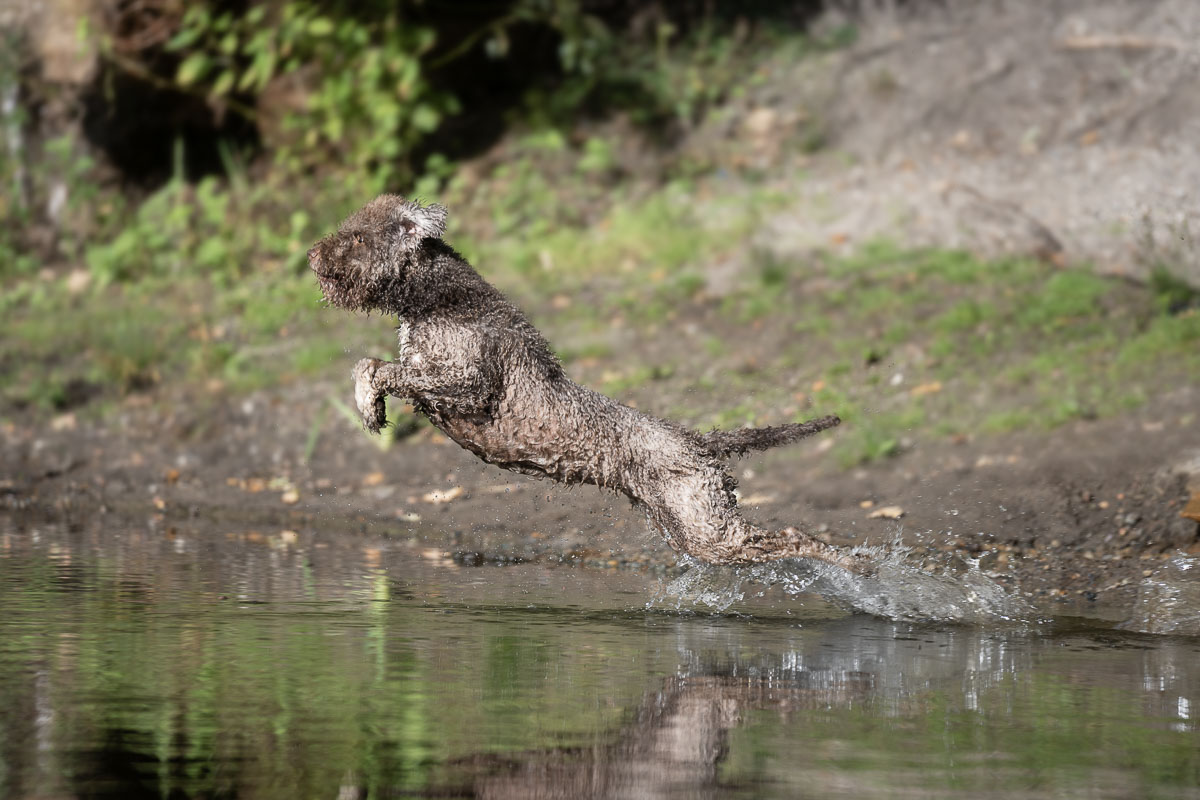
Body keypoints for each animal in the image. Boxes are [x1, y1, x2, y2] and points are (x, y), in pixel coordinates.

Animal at [314, 194, 868, 568]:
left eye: (359, 237)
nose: (313, 255)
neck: (433, 300)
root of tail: (697, 442)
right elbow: (370, 365)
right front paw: (370, 407)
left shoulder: (469, 384)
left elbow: (379, 366)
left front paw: (370, 404)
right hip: (686, 527)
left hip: (709, 527)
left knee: (792, 534)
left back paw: (850, 564)